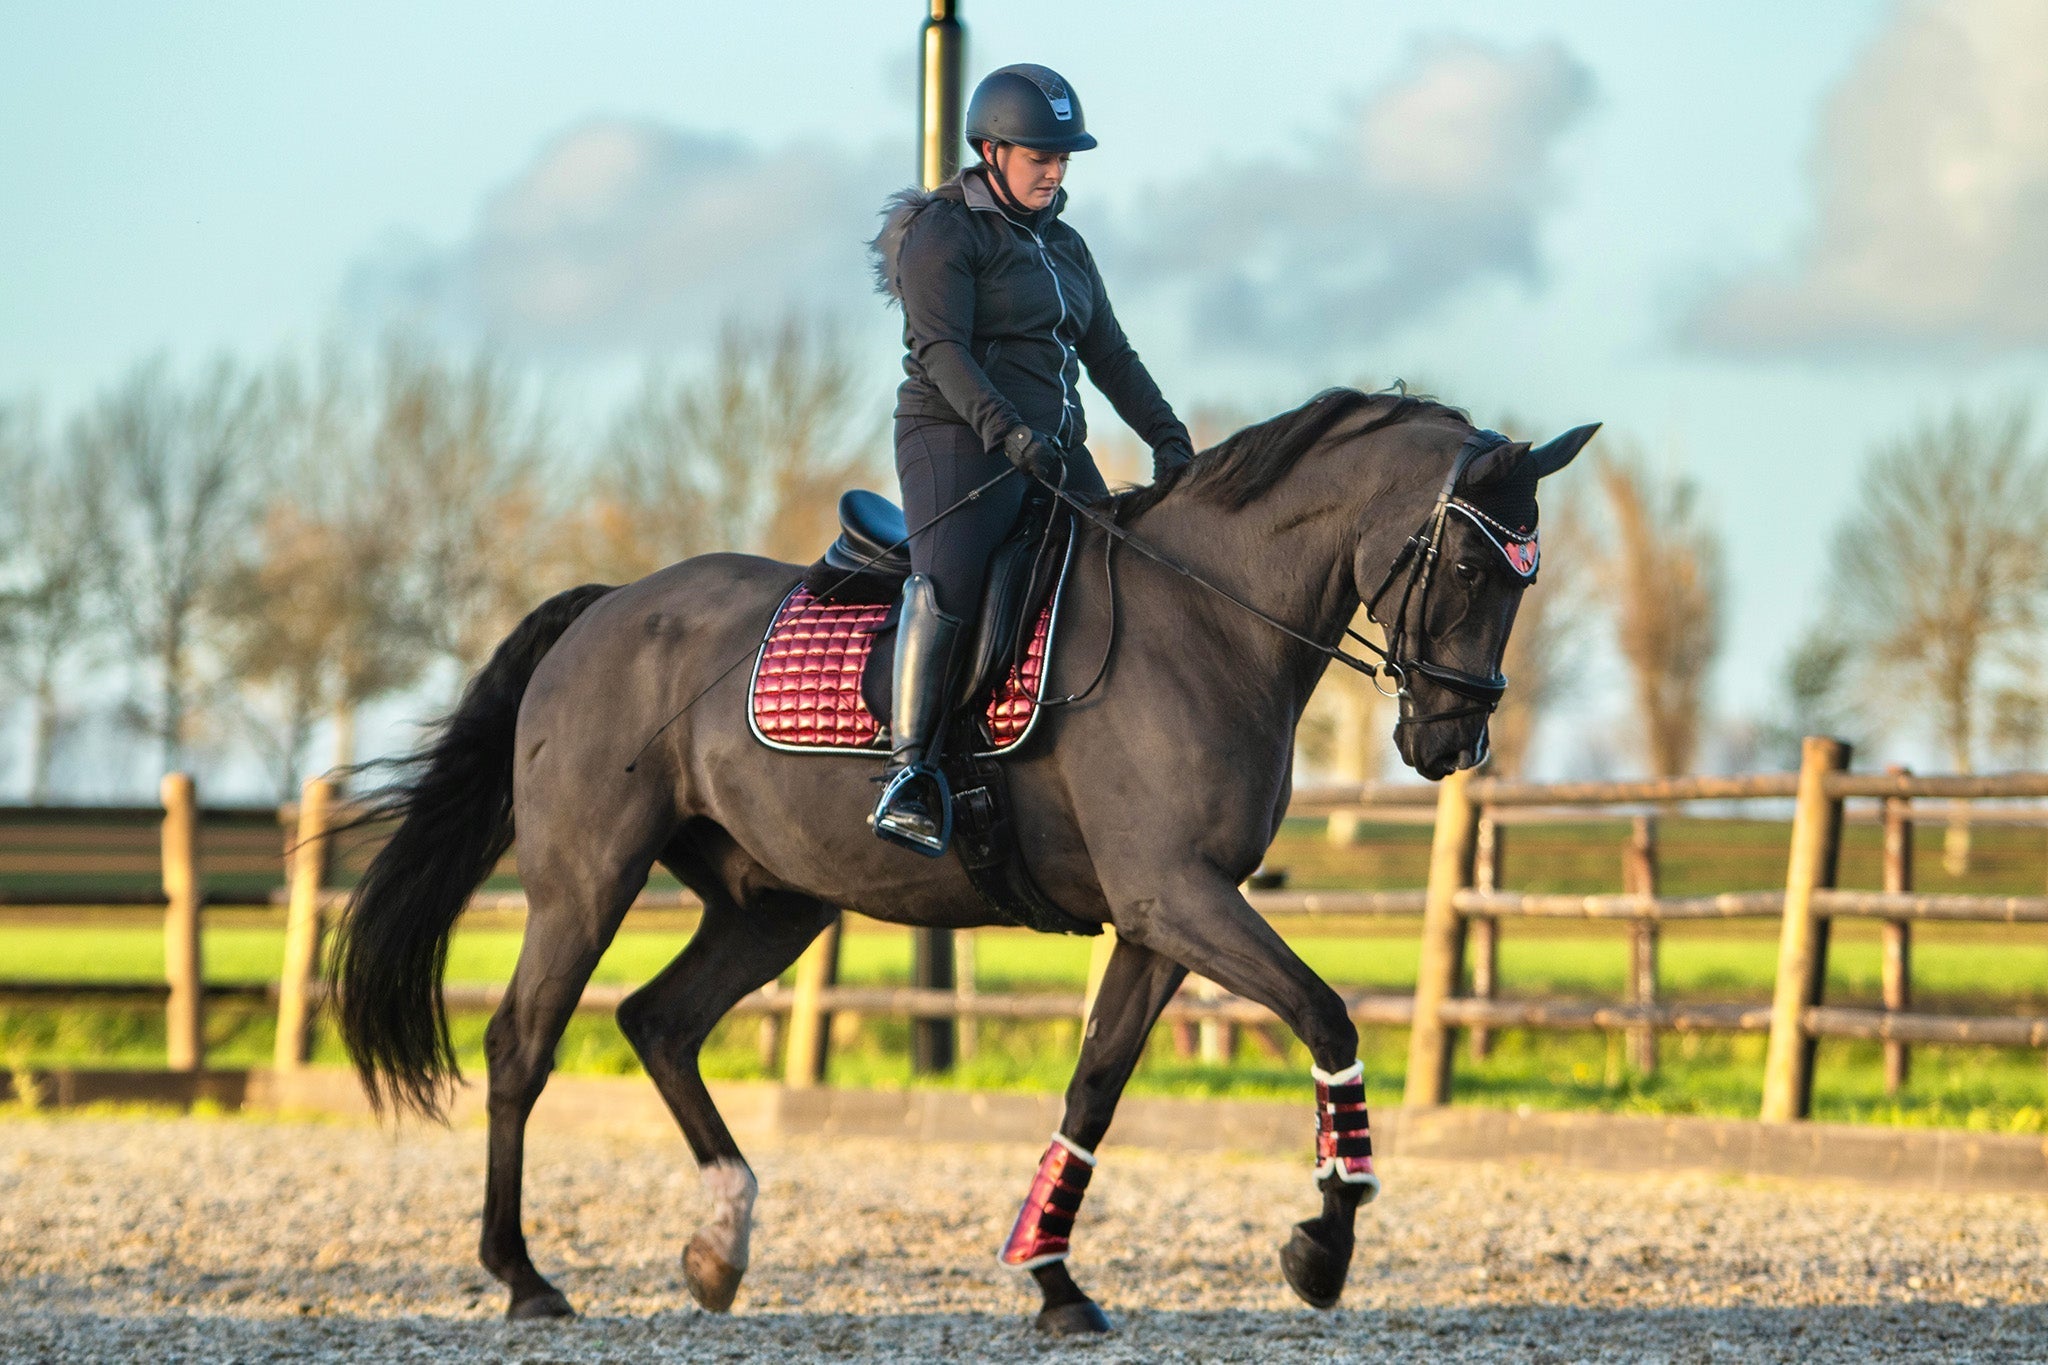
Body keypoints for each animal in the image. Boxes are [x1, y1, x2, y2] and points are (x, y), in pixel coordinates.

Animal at [327, 384, 1589, 1334]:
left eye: (1521, 578)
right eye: (1470, 569)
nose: (1451, 742)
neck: (1207, 621)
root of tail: (606, 607)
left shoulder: (1162, 921)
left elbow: (1094, 1089)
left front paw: (1052, 1279)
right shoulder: (1174, 896)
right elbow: (1325, 1015)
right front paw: (1322, 1243)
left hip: (770, 903)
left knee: (659, 1022)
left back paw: (717, 1245)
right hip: (585, 882)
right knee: (520, 1045)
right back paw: (524, 1277)